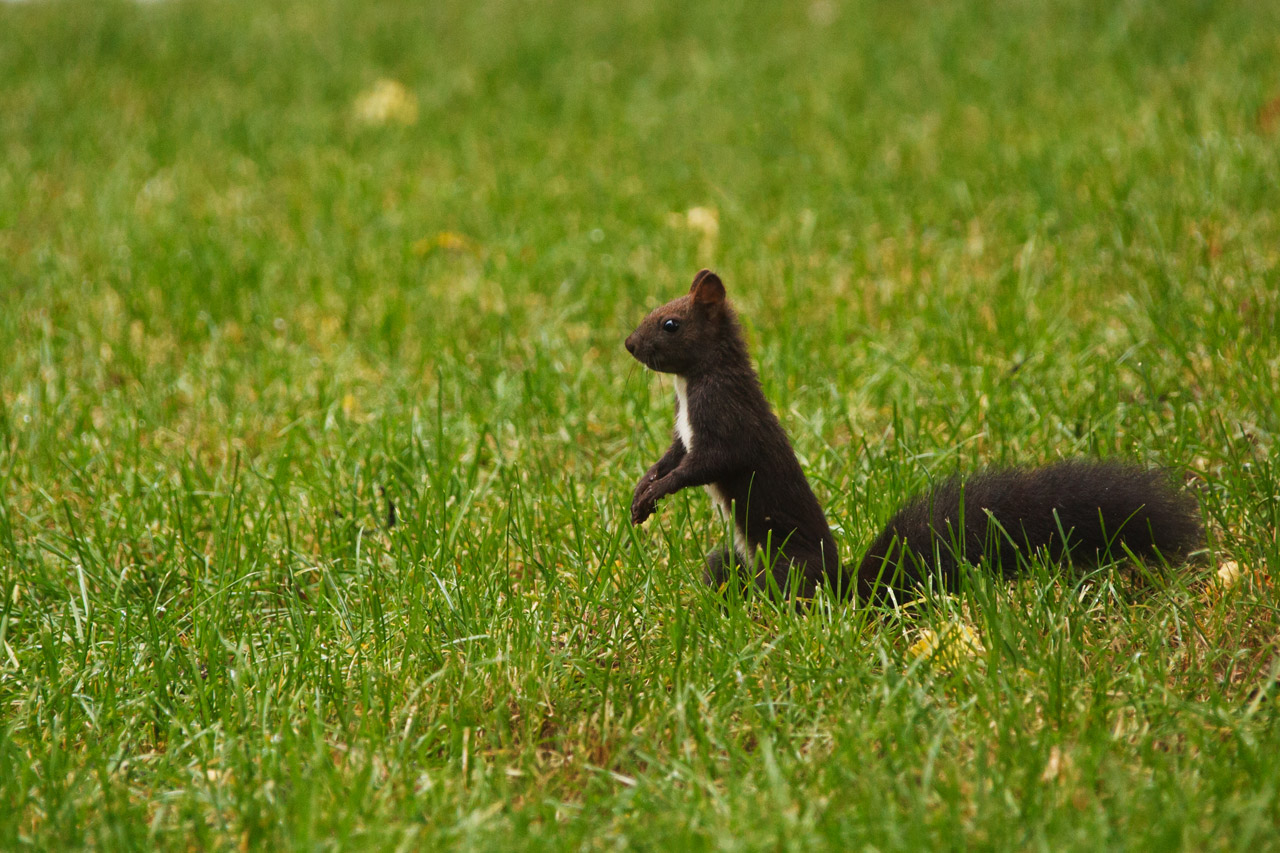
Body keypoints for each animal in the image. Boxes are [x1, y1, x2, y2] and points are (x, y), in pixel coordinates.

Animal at [624, 268, 1203, 601]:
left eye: (671, 324)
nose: (629, 344)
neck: (691, 384)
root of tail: (845, 589)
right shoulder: (686, 432)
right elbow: (672, 455)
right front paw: (641, 491)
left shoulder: (726, 422)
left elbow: (706, 464)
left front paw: (656, 492)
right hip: (734, 559)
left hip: (787, 566)